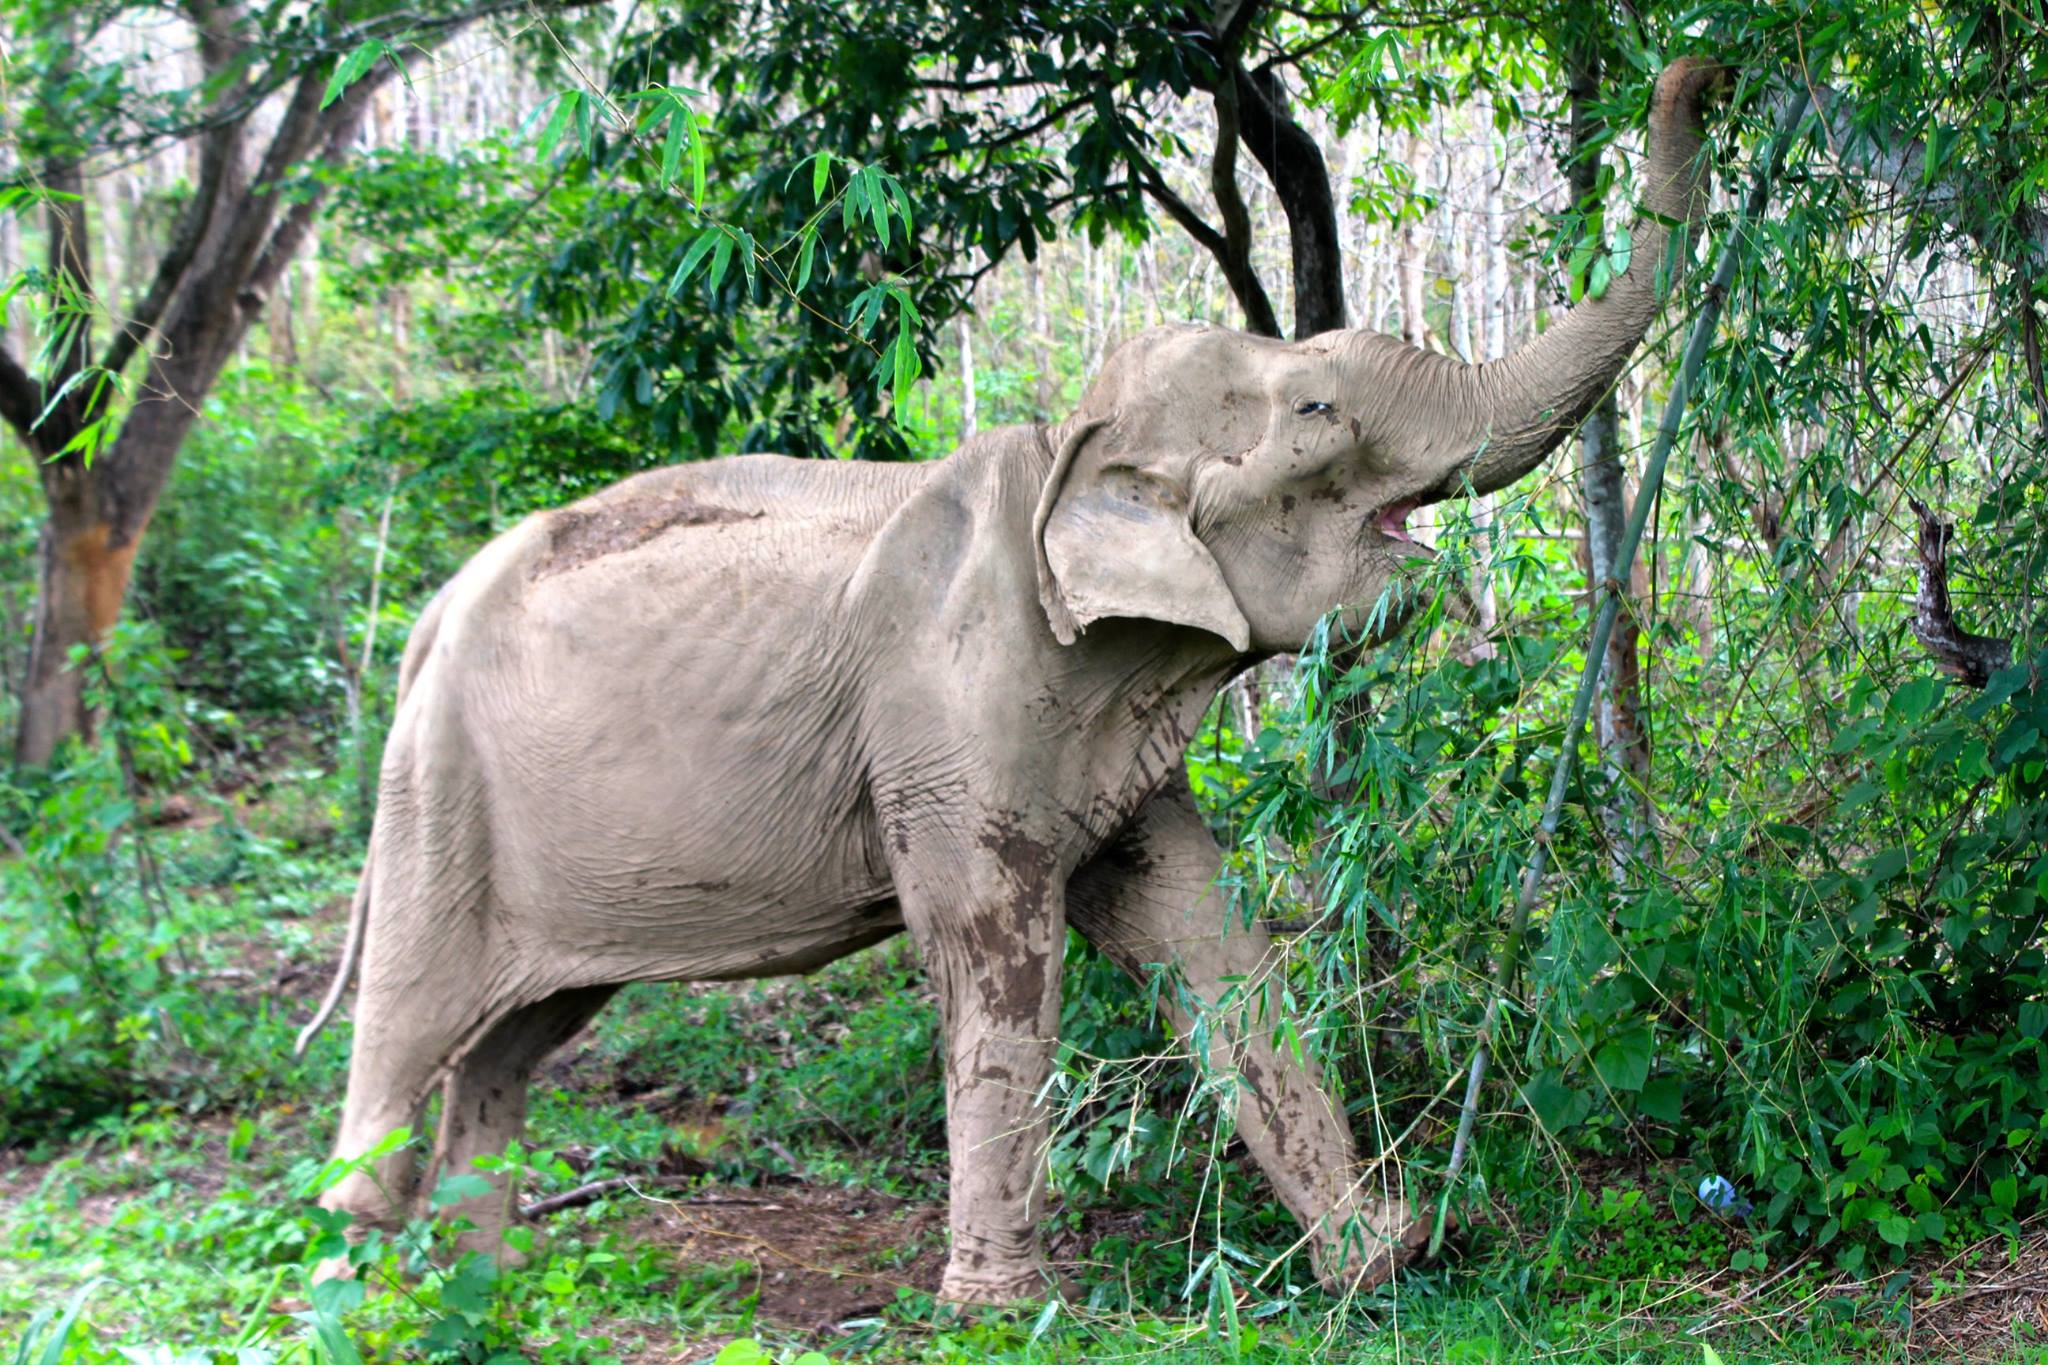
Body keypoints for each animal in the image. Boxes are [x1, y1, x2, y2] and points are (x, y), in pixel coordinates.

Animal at [300, 57, 1722, 1305]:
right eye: (1315, 411)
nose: (1699, 70)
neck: (1062, 452)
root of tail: (431, 612)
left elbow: (1201, 937)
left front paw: (1382, 1263)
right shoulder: (952, 705)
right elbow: (996, 956)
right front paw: (997, 1306)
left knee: (514, 1042)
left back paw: (479, 1284)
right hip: (436, 799)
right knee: (413, 1023)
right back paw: (359, 1292)